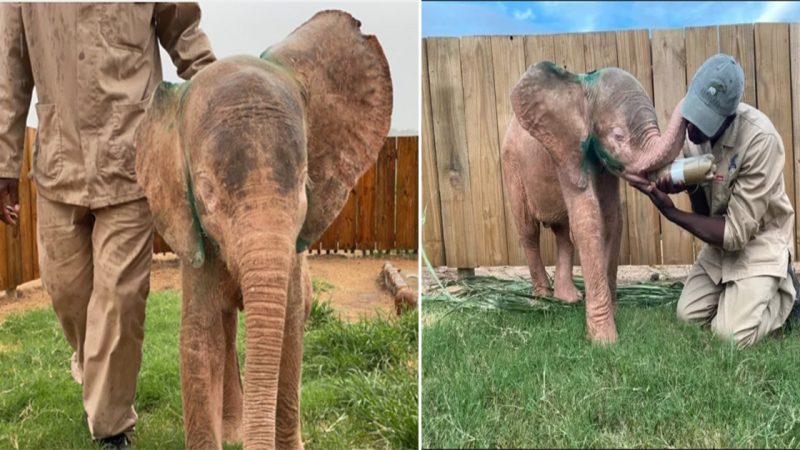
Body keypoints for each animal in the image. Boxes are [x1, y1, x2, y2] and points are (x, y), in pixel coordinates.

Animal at [504, 61, 684, 342]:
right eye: (618, 136)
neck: (582, 88)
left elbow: (612, 218)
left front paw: (613, 312)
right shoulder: (565, 150)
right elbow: (588, 220)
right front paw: (604, 340)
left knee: (563, 234)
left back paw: (568, 299)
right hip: (512, 168)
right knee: (529, 231)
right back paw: (542, 300)